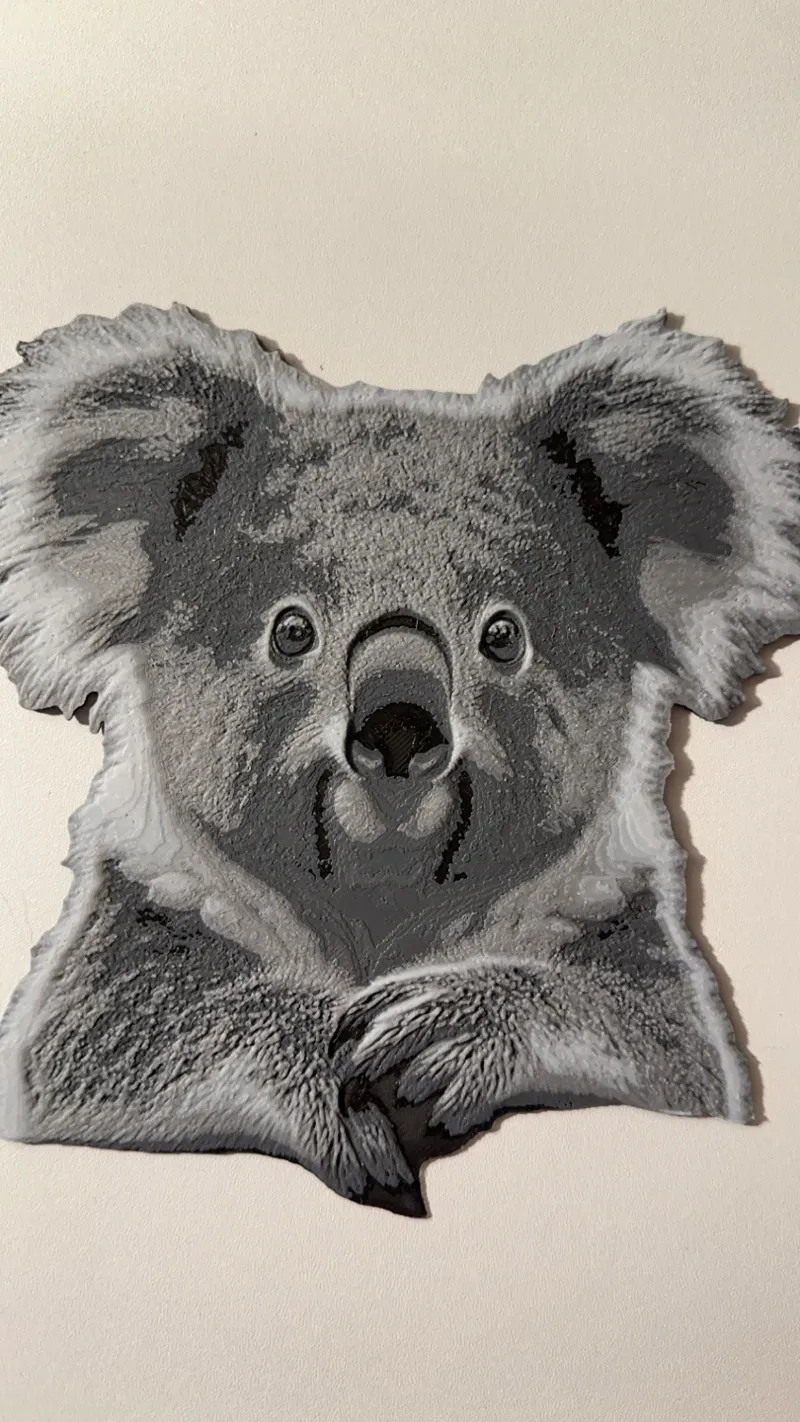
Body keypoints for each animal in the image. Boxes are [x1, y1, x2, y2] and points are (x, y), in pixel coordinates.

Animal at [0, 303, 798, 1214]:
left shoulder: (637, 971)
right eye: (291, 629)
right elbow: (126, 1044)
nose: (399, 729)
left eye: (503, 635)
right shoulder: (118, 975)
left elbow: (656, 1044)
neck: (376, 912)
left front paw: (443, 1034)